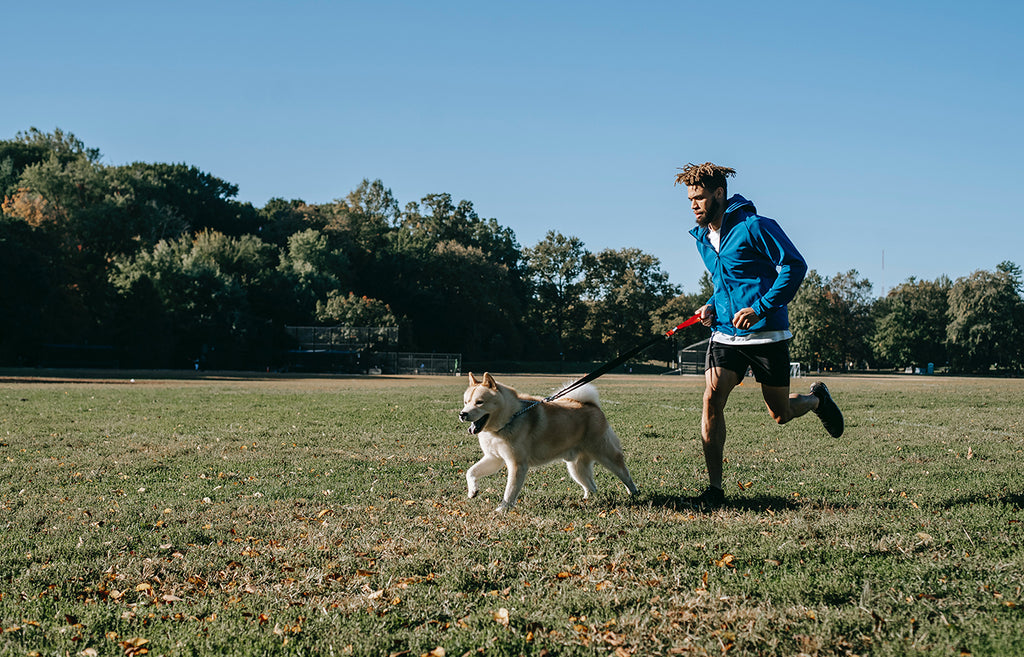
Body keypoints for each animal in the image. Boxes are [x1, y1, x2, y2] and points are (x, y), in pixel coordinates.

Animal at [460, 370, 634, 509]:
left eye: (479, 402)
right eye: (466, 402)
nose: (462, 414)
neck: (510, 417)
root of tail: (593, 406)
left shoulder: (517, 464)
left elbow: (509, 492)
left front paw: (502, 510)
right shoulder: (494, 458)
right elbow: (470, 472)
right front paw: (472, 491)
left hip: (605, 455)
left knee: (624, 473)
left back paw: (633, 493)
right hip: (576, 467)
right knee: (591, 486)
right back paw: (587, 500)